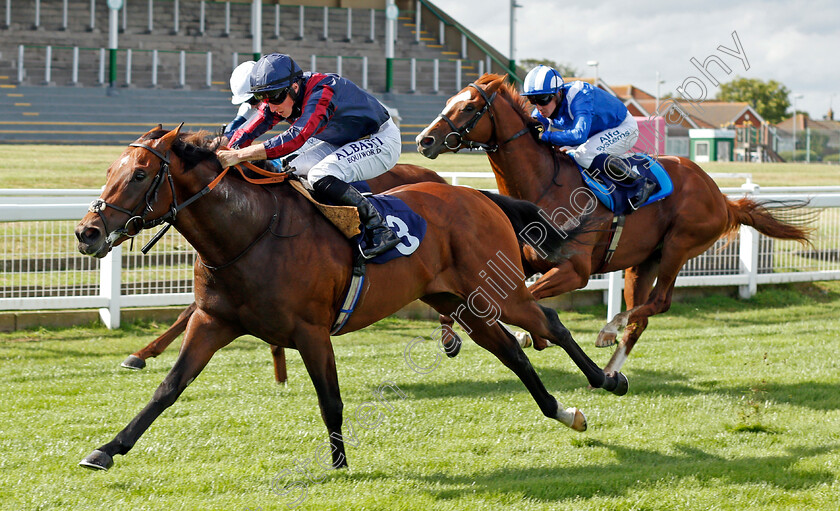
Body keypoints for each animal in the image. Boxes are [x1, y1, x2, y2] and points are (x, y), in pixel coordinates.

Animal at [416, 73, 812, 376]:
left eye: (469, 107)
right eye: (449, 101)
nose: (424, 140)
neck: (544, 185)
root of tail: (720, 196)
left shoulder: (576, 270)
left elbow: (531, 297)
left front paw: (531, 335)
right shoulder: (519, 261)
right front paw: (454, 336)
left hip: (679, 246)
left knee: (659, 302)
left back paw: (609, 330)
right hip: (643, 262)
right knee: (643, 317)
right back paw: (609, 367)